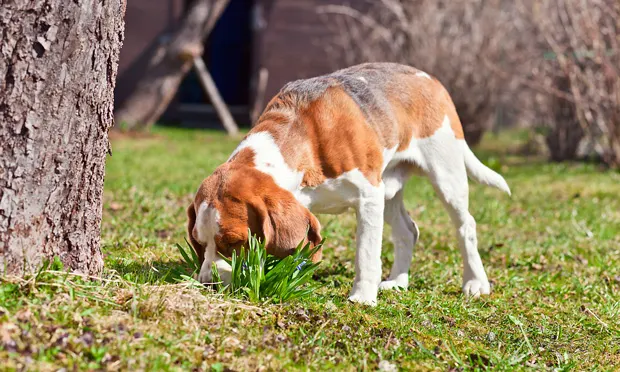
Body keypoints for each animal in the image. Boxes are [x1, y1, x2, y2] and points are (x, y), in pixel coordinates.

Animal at [188, 61, 508, 306]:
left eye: (234, 243)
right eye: (199, 243)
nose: (207, 283)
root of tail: (429, 78)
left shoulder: (368, 197)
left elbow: (366, 254)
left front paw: (362, 297)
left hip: (445, 176)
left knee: (466, 226)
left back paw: (475, 282)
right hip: (389, 190)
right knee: (408, 232)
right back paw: (398, 281)